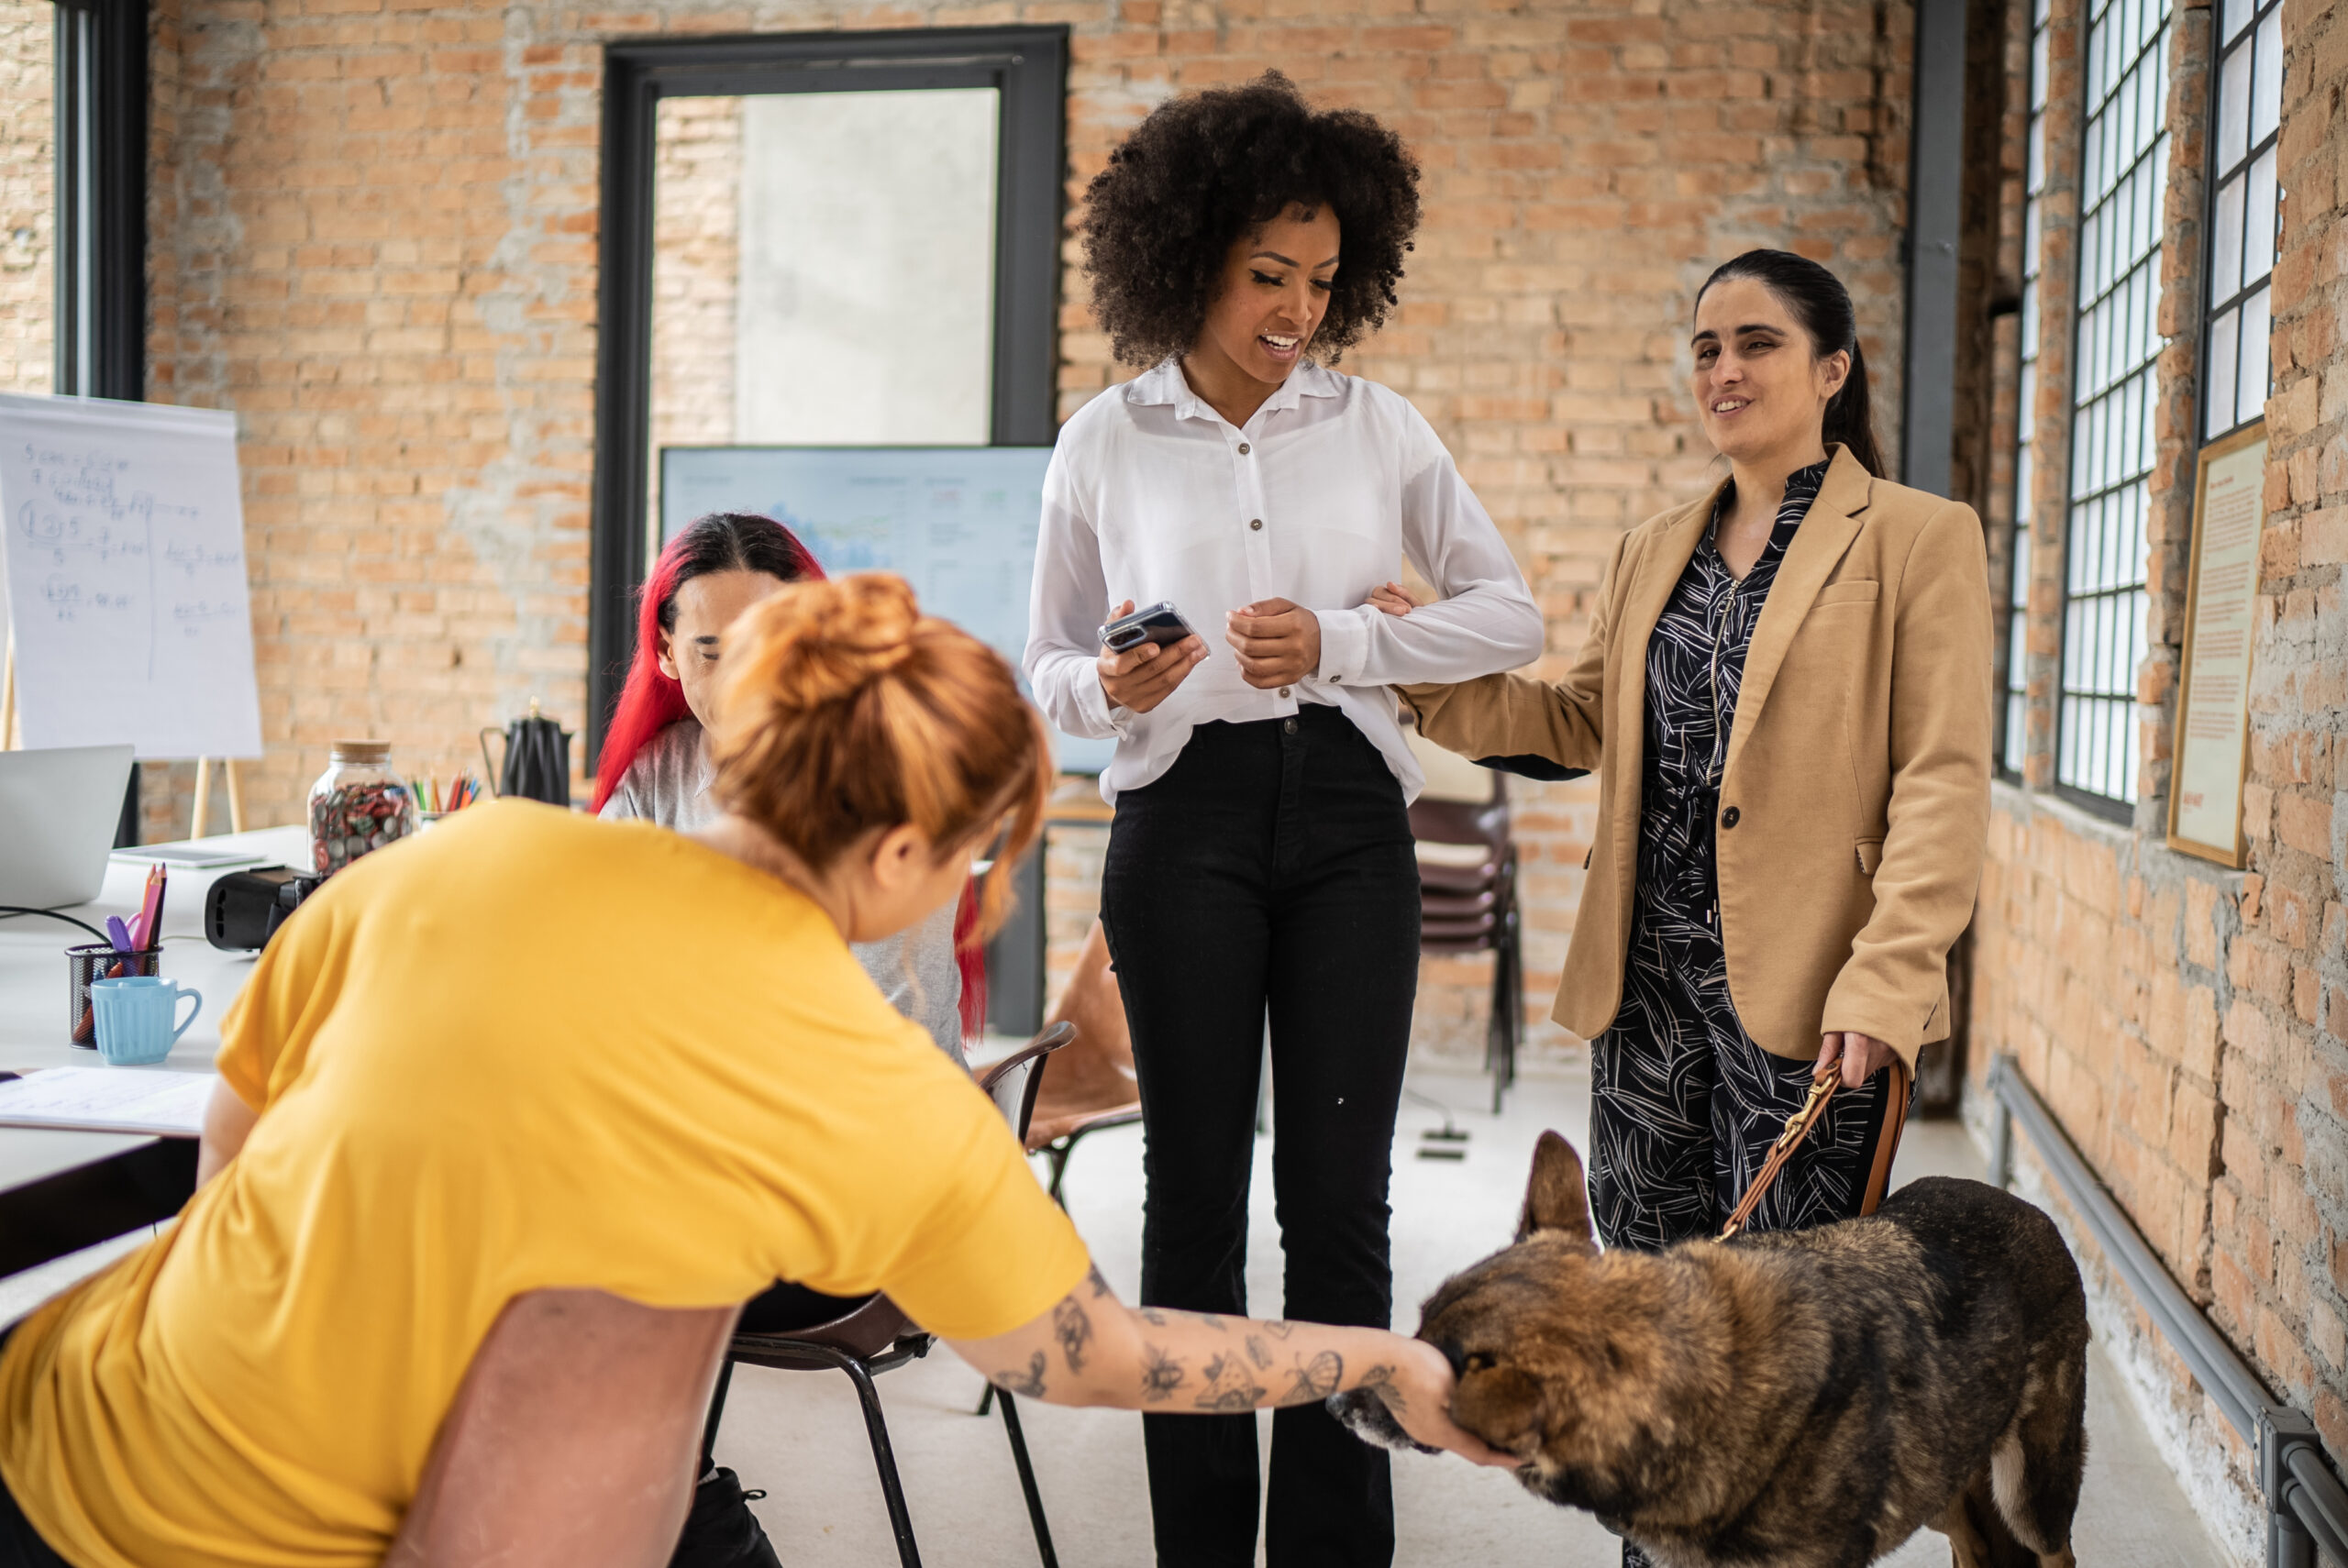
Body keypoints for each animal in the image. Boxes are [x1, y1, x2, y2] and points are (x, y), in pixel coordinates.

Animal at [1343, 1131, 2094, 1568]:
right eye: (1413, 1324)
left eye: (1413, 1381)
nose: (1336, 1402)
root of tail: (2023, 1205)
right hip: (1944, 1479)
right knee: (1974, 1541)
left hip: (2029, 1492)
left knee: (2053, 1551)